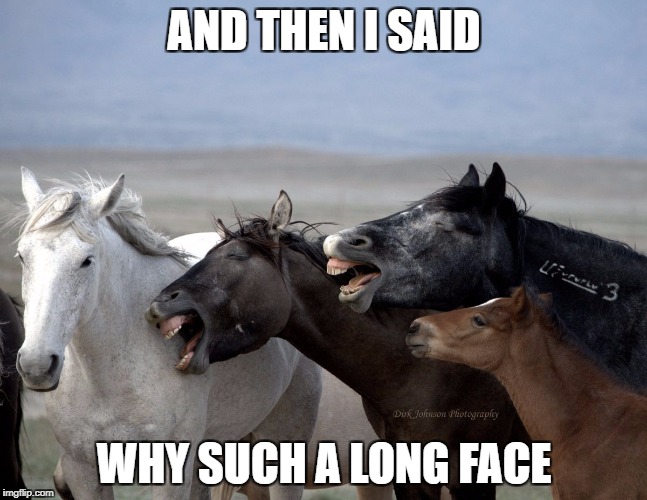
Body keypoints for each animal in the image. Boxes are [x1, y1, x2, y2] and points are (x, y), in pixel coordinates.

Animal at [9, 168, 322, 500]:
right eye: (22, 257)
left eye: (87, 260)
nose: (37, 365)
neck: (110, 375)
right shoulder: (81, 468)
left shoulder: (171, 469)